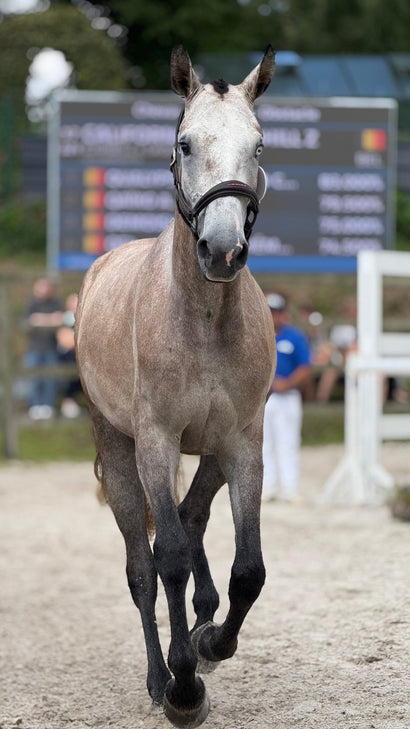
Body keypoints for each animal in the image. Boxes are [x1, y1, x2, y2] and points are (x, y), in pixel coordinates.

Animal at [75, 45, 276, 728]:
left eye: (258, 146)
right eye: (185, 144)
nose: (223, 250)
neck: (204, 318)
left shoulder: (242, 444)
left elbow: (247, 571)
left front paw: (213, 642)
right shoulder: (157, 443)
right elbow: (167, 561)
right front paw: (184, 688)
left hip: (209, 450)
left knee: (191, 519)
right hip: (118, 451)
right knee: (144, 566)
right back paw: (161, 675)